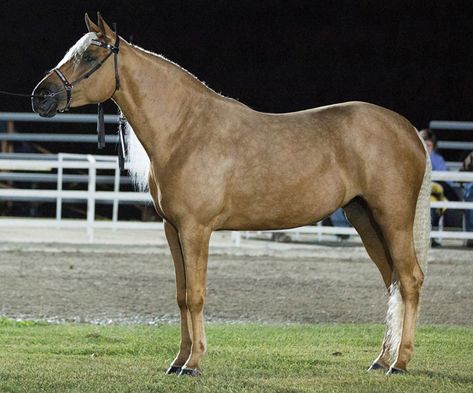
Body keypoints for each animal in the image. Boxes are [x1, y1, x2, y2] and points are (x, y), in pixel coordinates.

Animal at [32, 13, 432, 376]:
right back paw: (381, 360)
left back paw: (400, 363)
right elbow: (181, 296)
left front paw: (193, 364)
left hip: (392, 218)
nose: (41, 96)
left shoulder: (195, 230)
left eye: (90, 56)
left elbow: (195, 296)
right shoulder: (172, 230)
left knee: (410, 280)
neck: (186, 130)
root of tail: (408, 130)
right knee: (393, 283)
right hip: (364, 218)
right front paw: (177, 361)